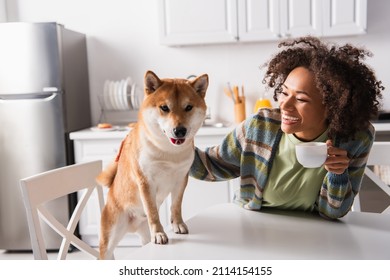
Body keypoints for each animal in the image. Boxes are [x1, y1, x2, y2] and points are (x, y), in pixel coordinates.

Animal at [96, 70, 209, 260]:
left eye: (188, 107)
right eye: (164, 108)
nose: (180, 131)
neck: (169, 152)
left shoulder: (181, 178)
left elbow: (176, 206)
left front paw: (178, 224)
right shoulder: (146, 181)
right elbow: (152, 211)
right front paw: (159, 233)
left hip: (143, 237)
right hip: (110, 238)